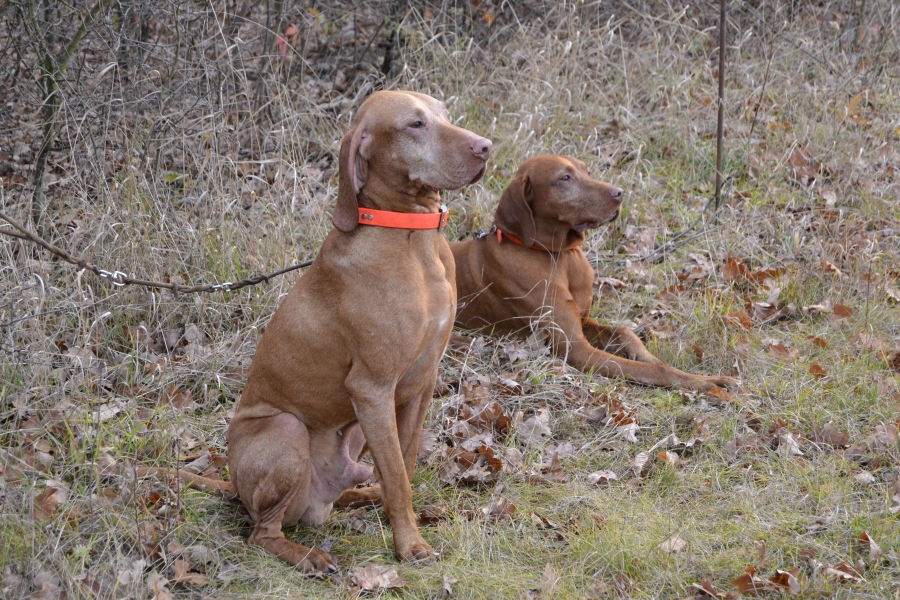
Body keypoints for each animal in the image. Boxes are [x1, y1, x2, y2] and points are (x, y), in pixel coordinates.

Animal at [450, 154, 738, 392]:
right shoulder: (576, 348)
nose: (619, 193)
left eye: (586, 170)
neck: (558, 256)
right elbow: (652, 370)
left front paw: (649, 355)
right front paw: (705, 383)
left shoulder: (585, 322)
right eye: (565, 178)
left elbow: (627, 333)